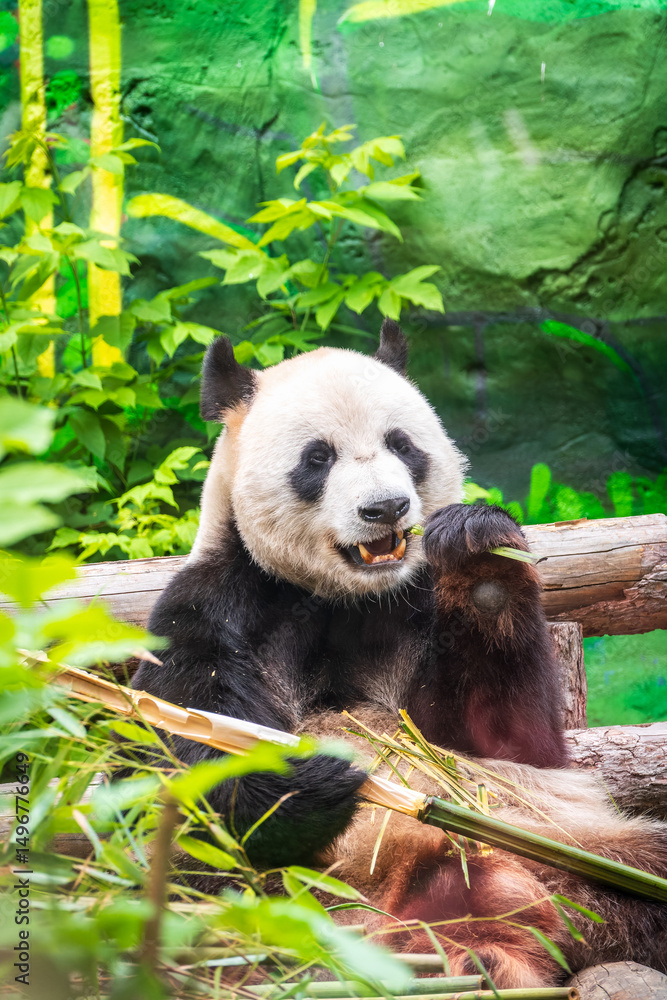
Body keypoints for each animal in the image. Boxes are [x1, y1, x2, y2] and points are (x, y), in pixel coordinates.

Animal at [131, 320, 667, 986]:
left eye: (402, 444)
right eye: (318, 458)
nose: (385, 508)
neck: (346, 597)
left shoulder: (416, 607)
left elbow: (511, 743)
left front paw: (481, 560)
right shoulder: (218, 604)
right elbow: (183, 742)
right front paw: (317, 778)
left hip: (573, 845)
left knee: (639, 870)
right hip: (289, 898)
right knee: (198, 877)